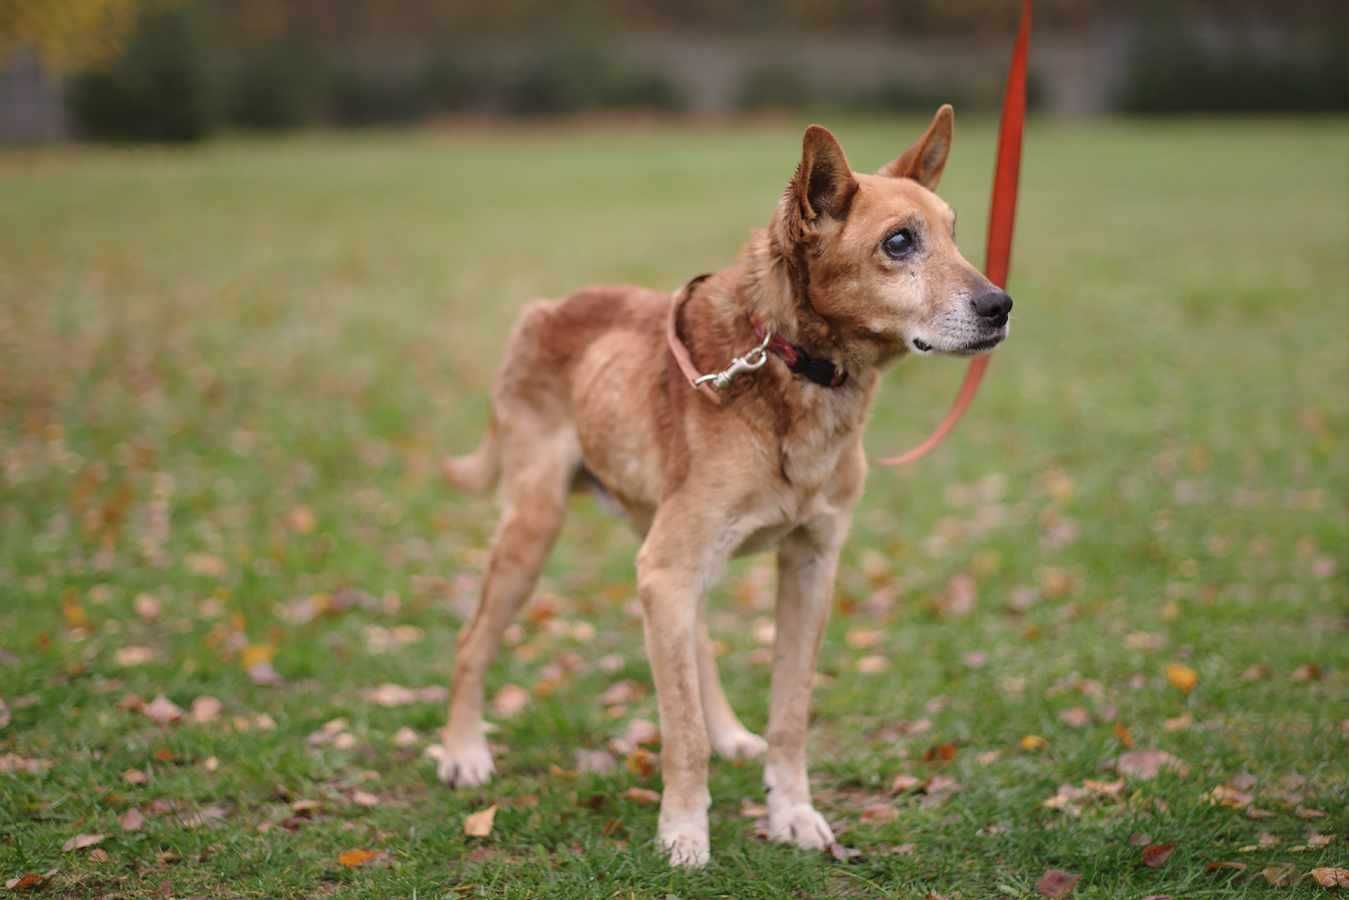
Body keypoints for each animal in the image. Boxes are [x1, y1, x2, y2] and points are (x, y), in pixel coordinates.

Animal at [439, 103, 1014, 863]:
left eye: (954, 232)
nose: (1001, 305)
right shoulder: (669, 569)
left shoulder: (807, 565)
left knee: (695, 644)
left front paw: (791, 811)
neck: (790, 369)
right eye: (899, 242)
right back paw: (461, 751)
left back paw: (731, 733)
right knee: (473, 641)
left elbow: (789, 715)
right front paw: (683, 829)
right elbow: (679, 734)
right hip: (538, 530)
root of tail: (545, 308)